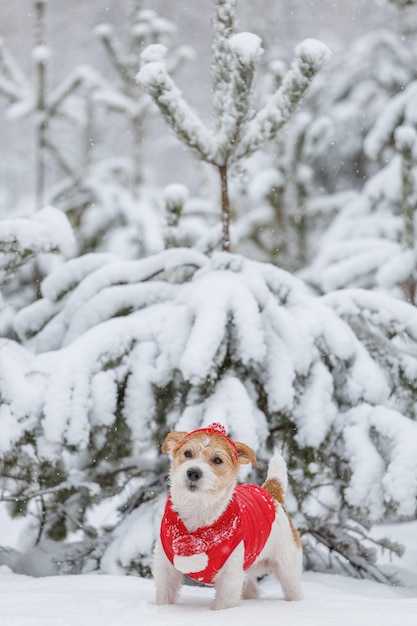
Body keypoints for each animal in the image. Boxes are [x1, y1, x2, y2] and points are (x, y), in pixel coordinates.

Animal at [151, 422, 300, 608]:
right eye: (187, 453)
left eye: (217, 460)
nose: (193, 472)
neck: (197, 511)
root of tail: (271, 494)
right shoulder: (166, 568)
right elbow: (165, 597)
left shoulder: (230, 575)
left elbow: (224, 603)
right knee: (252, 589)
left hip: (288, 567)